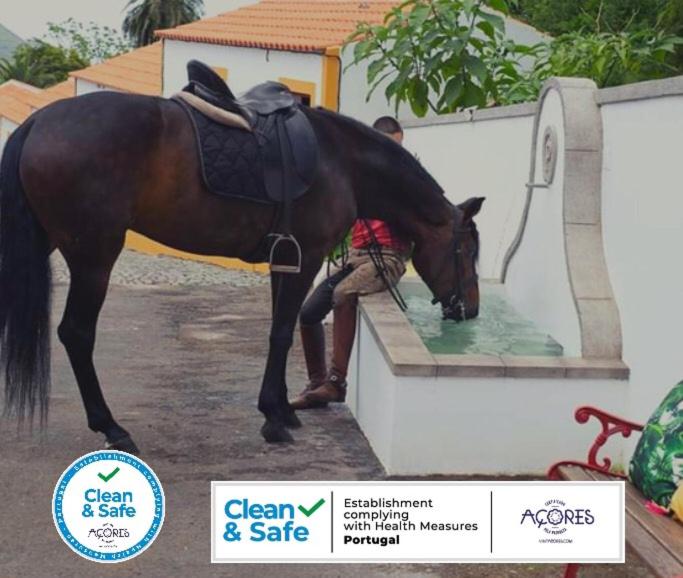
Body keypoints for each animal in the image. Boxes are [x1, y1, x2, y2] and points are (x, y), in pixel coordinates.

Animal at [0, 90, 484, 450]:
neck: (341, 161)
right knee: (77, 334)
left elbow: (278, 329)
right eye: (468, 250)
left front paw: (282, 408)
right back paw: (112, 428)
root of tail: (37, 122)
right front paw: (275, 418)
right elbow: (282, 332)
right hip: (95, 256)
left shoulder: (284, 258)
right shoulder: (306, 257)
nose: (471, 310)